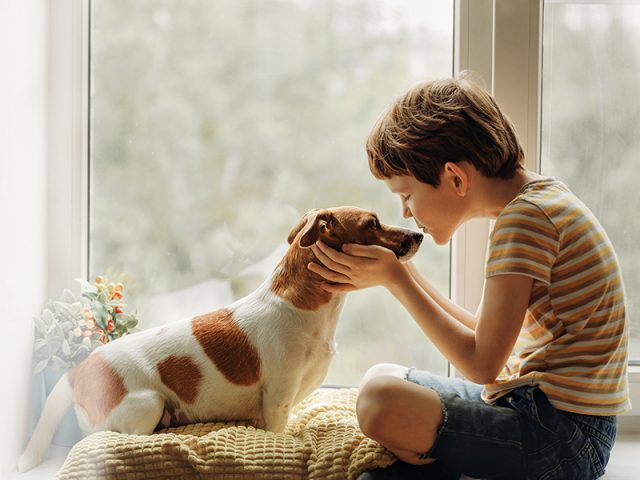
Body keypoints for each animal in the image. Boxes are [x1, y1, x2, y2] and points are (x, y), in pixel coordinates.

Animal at [17, 206, 422, 472]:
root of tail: (79, 371)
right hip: (147, 403)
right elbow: (280, 428)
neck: (308, 308)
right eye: (372, 223)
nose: (419, 234)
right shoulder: (277, 399)